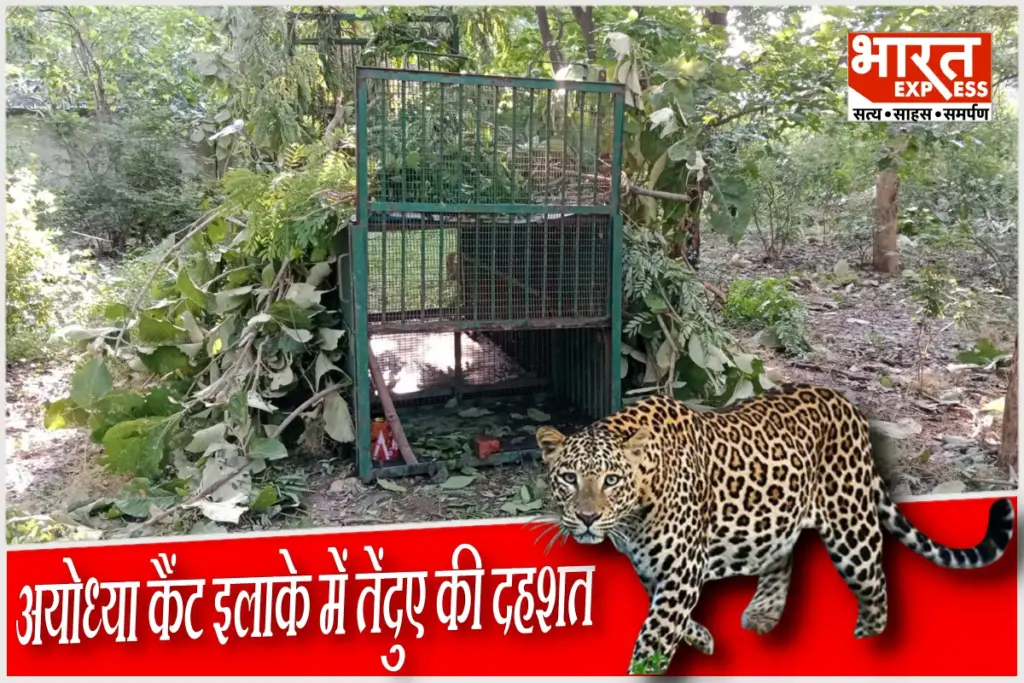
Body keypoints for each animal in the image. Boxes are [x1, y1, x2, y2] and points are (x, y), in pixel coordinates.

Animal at [534, 384, 1016, 675]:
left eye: (612, 480)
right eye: (568, 478)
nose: (587, 518)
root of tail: (848, 404)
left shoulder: (682, 567)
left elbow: (655, 631)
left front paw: (644, 666)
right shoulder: (654, 568)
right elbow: (666, 617)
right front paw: (702, 638)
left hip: (851, 527)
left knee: (876, 584)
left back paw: (867, 642)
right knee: (781, 554)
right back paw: (764, 612)